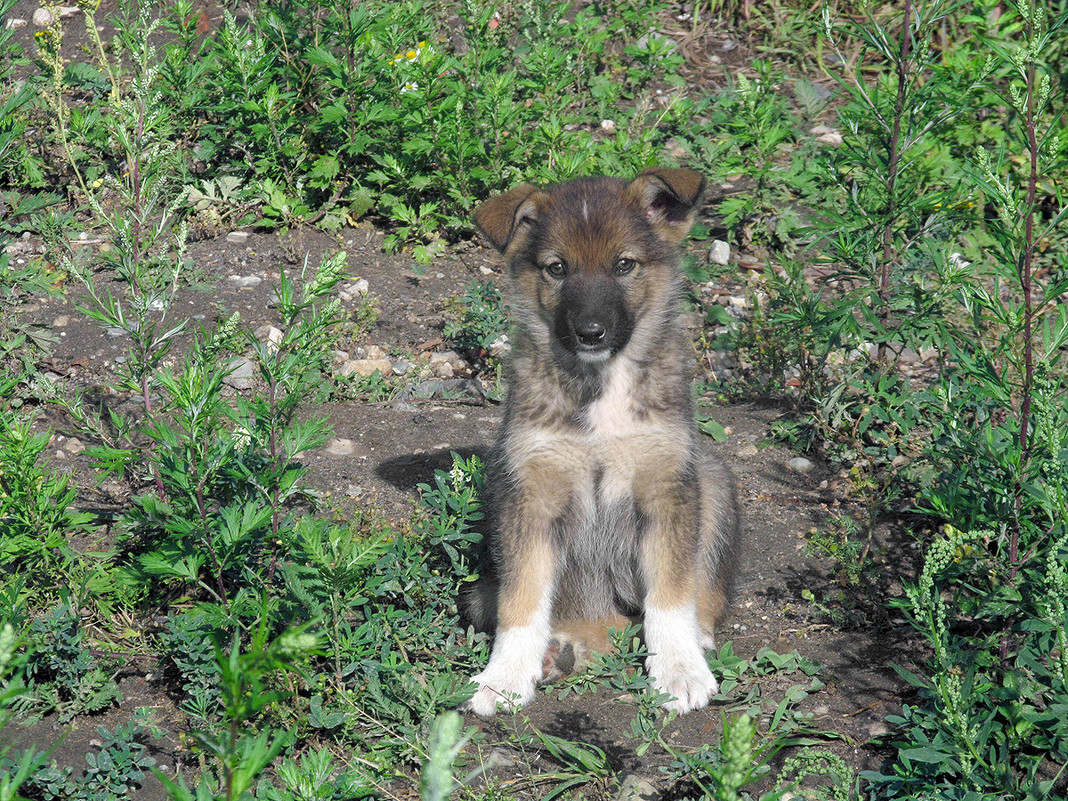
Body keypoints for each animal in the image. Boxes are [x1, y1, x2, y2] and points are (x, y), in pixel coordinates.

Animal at [459, 167, 743, 713]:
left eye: (624, 264)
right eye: (556, 269)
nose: (591, 332)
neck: (599, 386)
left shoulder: (666, 486)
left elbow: (670, 595)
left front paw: (679, 669)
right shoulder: (529, 494)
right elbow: (521, 600)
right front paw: (504, 678)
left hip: (713, 481)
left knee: (696, 599)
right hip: (483, 585)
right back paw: (561, 652)